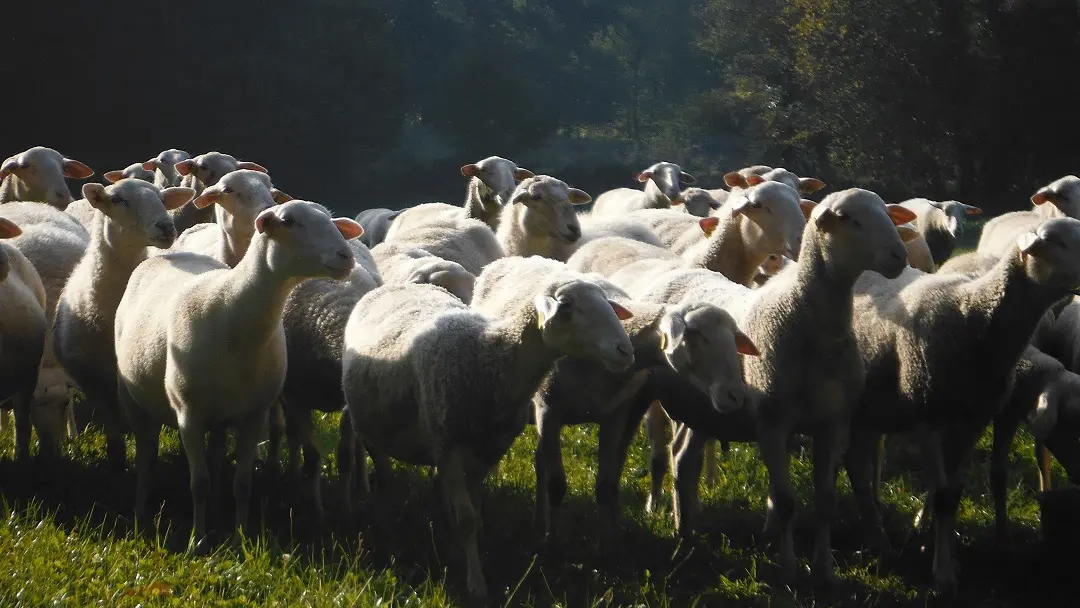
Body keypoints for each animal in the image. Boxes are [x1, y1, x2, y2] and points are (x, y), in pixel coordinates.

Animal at [51, 180, 192, 470]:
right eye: (118, 200)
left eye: (162, 199)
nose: (166, 226)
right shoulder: (95, 380)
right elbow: (112, 430)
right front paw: (117, 462)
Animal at [115, 199, 362, 546]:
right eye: (289, 221)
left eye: (331, 220)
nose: (345, 256)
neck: (234, 314)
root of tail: (165, 256)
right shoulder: (189, 416)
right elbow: (198, 483)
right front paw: (198, 540)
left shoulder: (253, 415)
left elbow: (243, 483)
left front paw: (240, 536)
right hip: (131, 399)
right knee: (145, 456)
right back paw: (140, 513)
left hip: (221, 413)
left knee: (216, 453)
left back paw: (217, 508)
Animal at [341, 255, 635, 600]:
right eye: (566, 308)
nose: (625, 351)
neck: (491, 355)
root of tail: (393, 286)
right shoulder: (448, 442)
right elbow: (468, 518)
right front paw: (476, 584)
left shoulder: (490, 448)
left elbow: (474, 511)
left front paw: (459, 554)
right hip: (372, 424)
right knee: (381, 468)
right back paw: (388, 527)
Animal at [846, 214, 1080, 591]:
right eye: (1057, 241)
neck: (971, 311)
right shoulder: (927, 414)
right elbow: (941, 494)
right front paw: (942, 573)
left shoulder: (973, 419)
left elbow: (953, 494)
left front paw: (948, 556)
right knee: (856, 465)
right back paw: (879, 542)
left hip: (870, 408)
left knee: (857, 463)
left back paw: (878, 535)